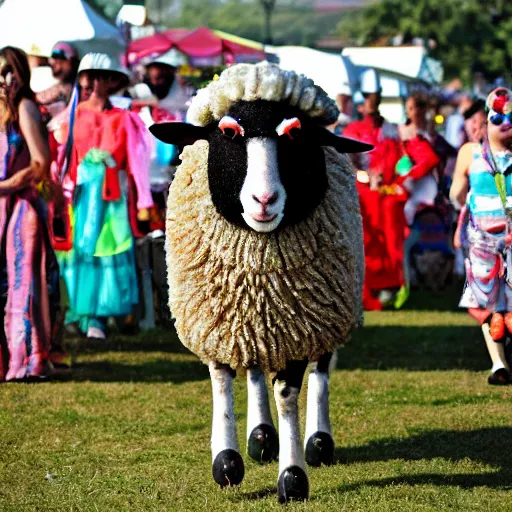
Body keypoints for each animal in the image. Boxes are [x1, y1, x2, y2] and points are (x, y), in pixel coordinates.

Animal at [150, 61, 370, 504]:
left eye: (296, 134)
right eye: (228, 132)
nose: (264, 201)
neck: (257, 265)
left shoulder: (301, 326)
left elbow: (288, 394)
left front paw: (293, 477)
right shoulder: (215, 318)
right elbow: (222, 380)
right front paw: (227, 462)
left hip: (330, 309)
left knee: (322, 370)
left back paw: (318, 442)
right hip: (250, 323)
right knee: (252, 367)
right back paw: (261, 436)